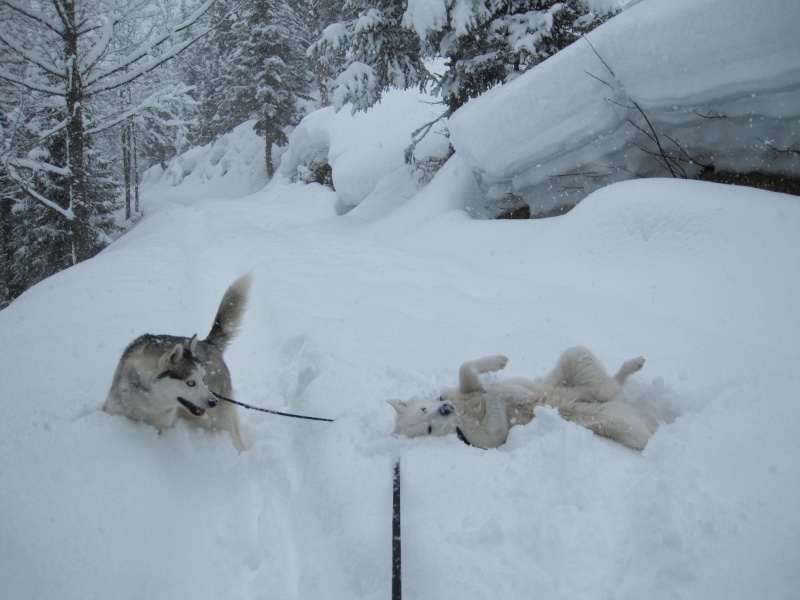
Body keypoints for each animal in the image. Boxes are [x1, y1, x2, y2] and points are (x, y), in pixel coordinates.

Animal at [390, 346, 656, 450]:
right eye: (428, 429)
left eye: (424, 410)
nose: (446, 409)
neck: (461, 418)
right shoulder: (494, 436)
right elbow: (496, 395)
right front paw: (521, 394)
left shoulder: (469, 389)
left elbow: (465, 368)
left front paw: (498, 362)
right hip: (623, 424)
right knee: (613, 390)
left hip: (576, 357)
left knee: (612, 383)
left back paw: (635, 363)